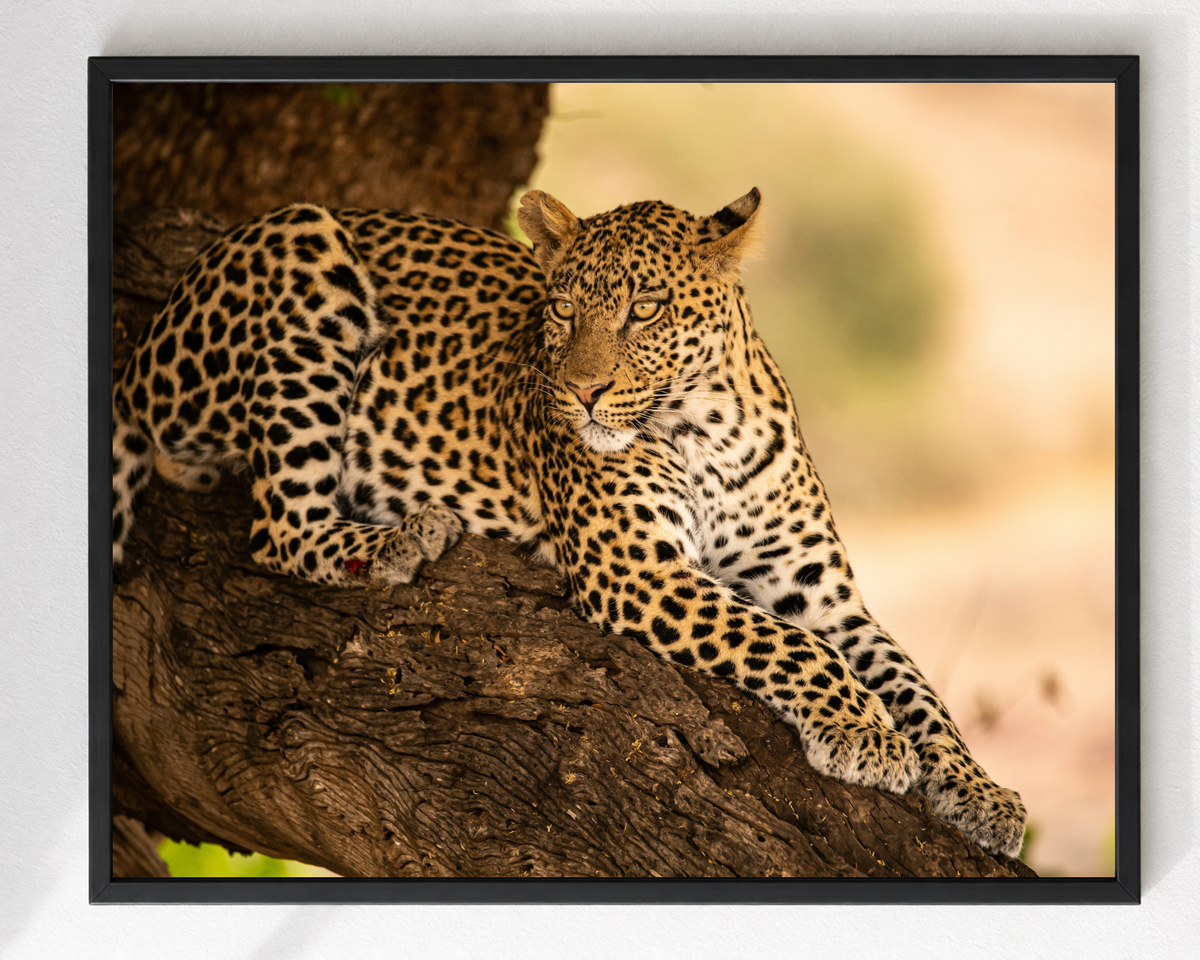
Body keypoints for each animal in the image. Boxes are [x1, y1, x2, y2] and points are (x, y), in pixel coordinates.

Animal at [111, 189, 1027, 858]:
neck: (713, 428)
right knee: (280, 526)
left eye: (646, 309)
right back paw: (404, 536)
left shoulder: (825, 595)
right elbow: (790, 645)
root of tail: (142, 349)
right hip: (300, 246)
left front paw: (979, 793)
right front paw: (862, 731)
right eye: (560, 310)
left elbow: (916, 686)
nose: (582, 392)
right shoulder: (641, 571)